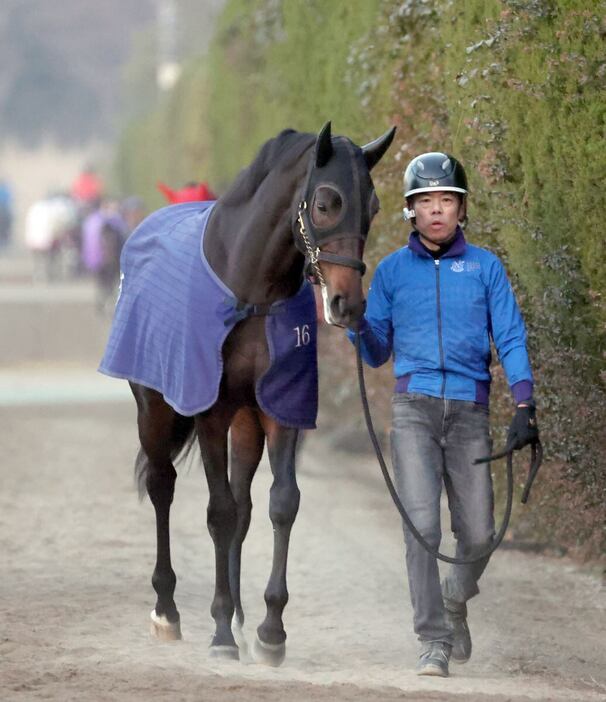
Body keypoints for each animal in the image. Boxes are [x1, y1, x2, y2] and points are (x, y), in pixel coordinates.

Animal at [98, 121, 400, 664]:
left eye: (374, 206)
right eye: (326, 202)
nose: (347, 305)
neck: (251, 292)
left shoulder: (278, 409)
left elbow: (281, 503)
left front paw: (269, 629)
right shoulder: (211, 410)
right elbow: (218, 512)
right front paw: (219, 630)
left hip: (245, 422)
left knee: (243, 502)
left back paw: (238, 617)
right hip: (153, 407)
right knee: (162, 484)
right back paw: (168, 609)